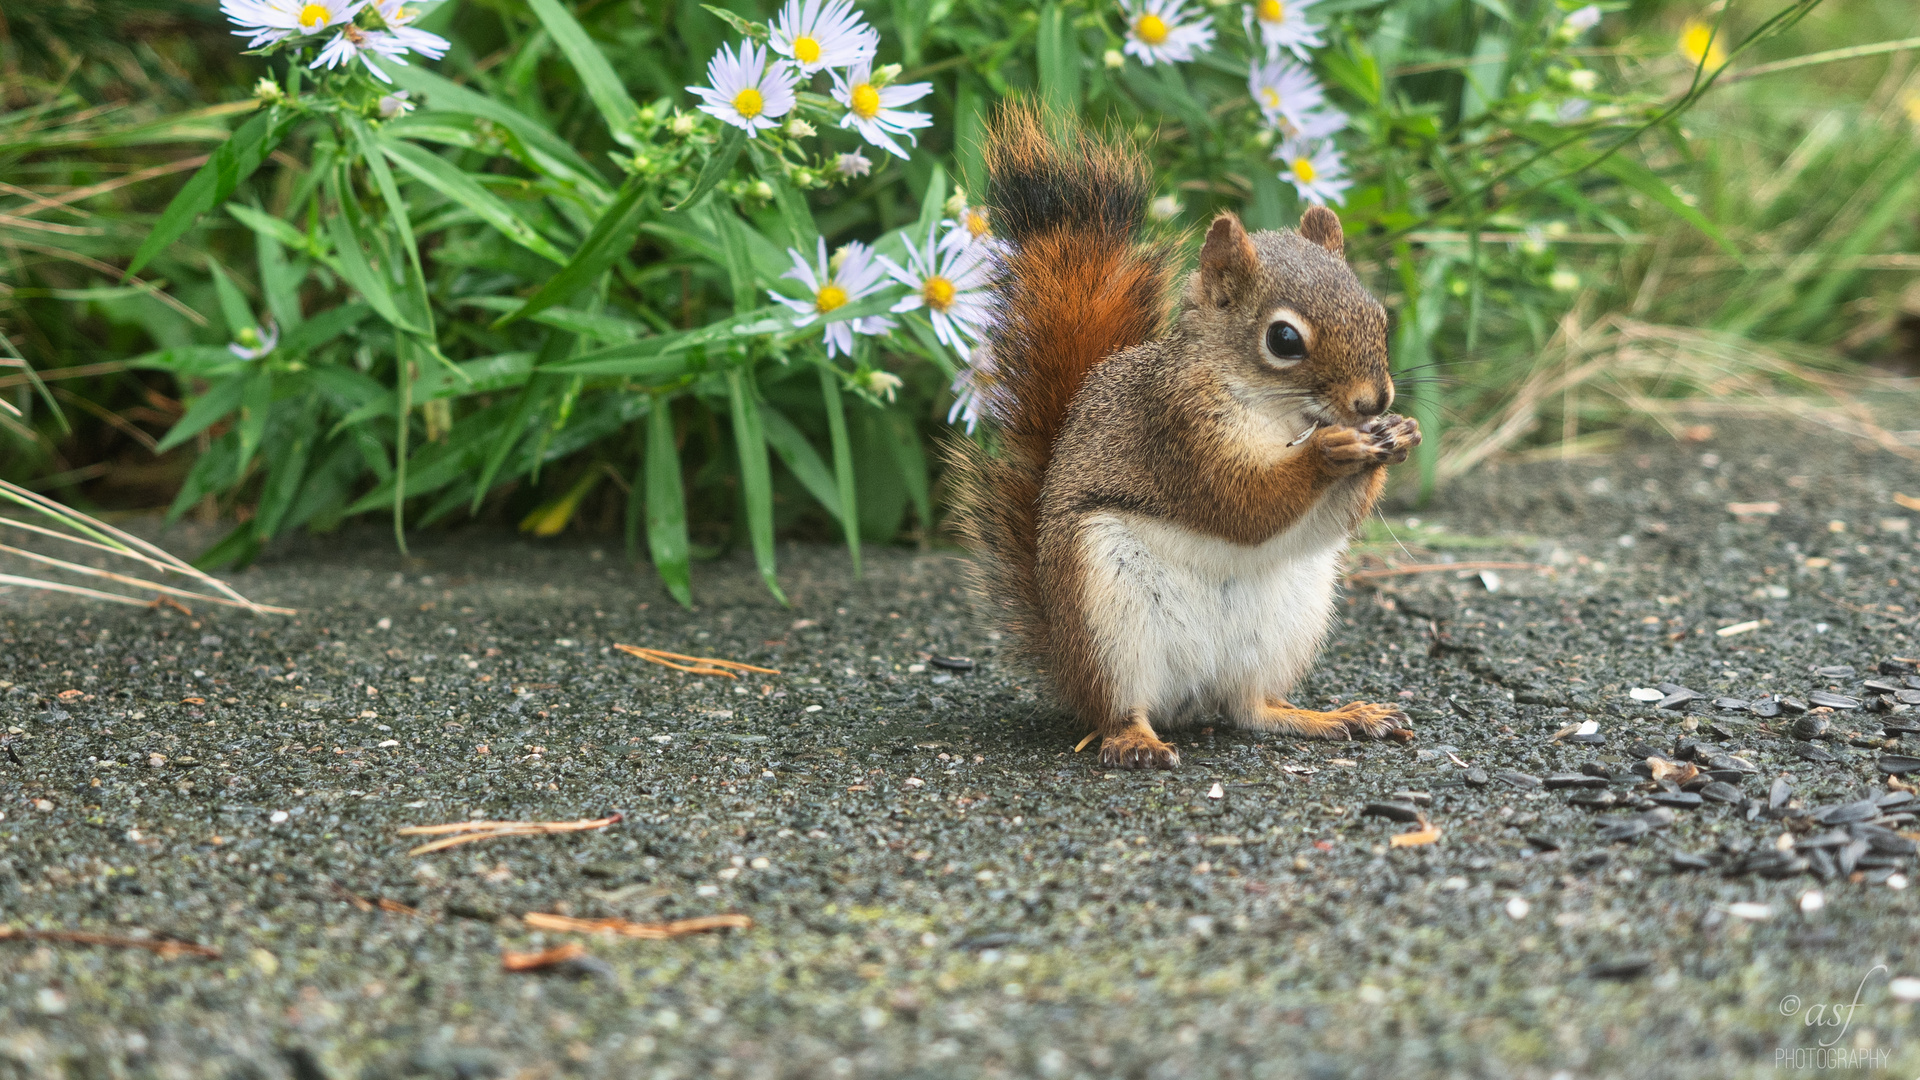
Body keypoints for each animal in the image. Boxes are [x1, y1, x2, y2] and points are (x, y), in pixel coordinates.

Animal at [948, 107, 1420, 764]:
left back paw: (1331, 717)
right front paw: (1330, 453)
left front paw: (1397, 436)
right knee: (1119, 708)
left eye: (1378, 315)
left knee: (1251, 709)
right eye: (1284, 339)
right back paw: (1136, 739)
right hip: (1107, 618)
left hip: (1286, 624)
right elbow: (1240, 504)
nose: (1374, 401)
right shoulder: (1178, 430)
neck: (1279, 417)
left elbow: (1328, 521)